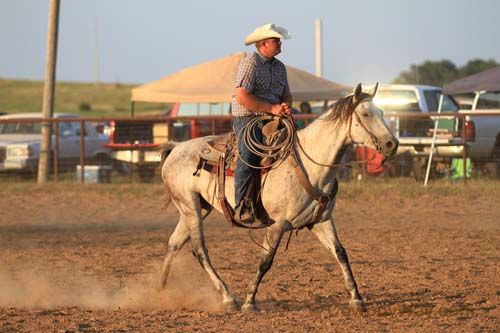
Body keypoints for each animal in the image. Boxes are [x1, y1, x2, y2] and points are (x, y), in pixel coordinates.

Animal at [157, 82, 398, 312]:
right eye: (366, 114)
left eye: (382, 112)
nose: (392, 144)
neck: (310, 165)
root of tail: (176, 147)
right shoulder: (277, 224)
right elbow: (266, 261)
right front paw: (249, 302)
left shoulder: (321, 220)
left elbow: (340, 253)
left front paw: (356, 298)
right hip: (190, 207)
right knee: (199, 250)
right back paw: (228, 297)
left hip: (198, 207)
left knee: (174, 244)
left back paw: (160, 291)